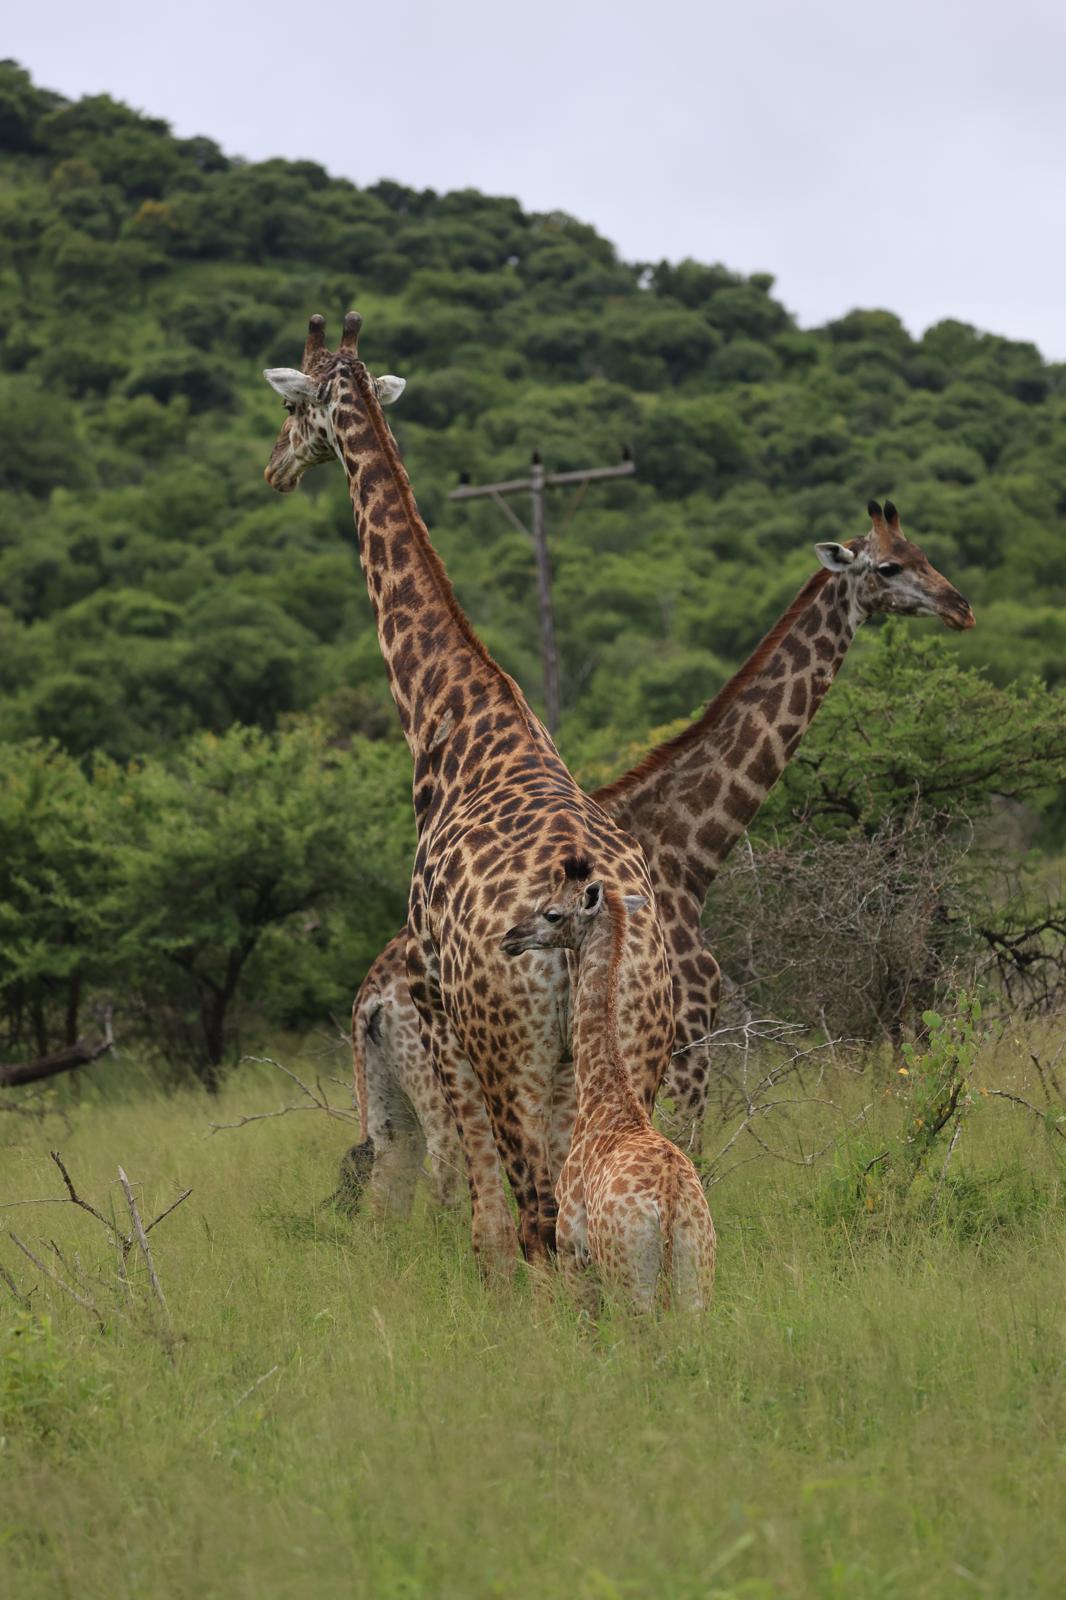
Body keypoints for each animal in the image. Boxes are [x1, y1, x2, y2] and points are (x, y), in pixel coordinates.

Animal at [262, 311, 674, 1273]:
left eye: (292, 408)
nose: (272, 468)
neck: (451, 715)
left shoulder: (443, 1013)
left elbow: (483, 1220)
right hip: (634, 1042)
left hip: (511, 1050)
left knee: (534, 1219)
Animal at [339, 500, 974, 1205]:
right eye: (889, 567)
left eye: (923, 554)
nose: (960, 607)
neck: (688, 847)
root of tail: (370, 1001)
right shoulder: (692, 1025)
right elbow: (688, 1147)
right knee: (451, 1177)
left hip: (393, 1093)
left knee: (387, 1178)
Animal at [501, 865, 717, 1314]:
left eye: (551, 913)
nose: (510, 936)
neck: (605, 1095)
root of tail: (669, 1203)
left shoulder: (572, 1247)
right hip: (697, 1276)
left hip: (628, 1278)